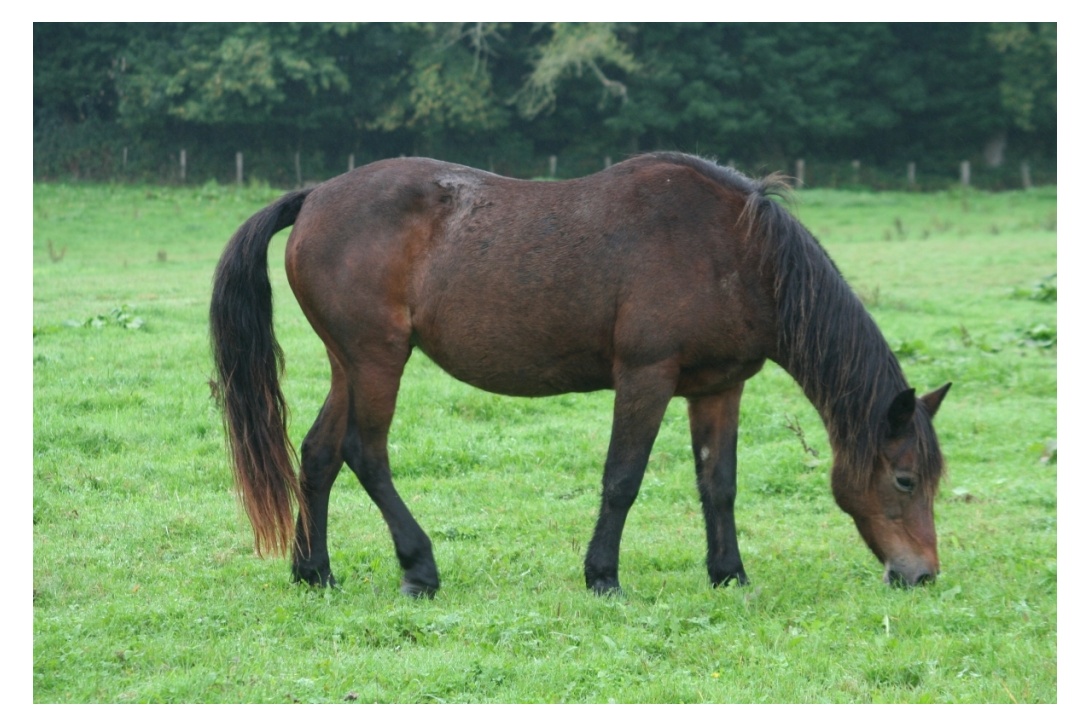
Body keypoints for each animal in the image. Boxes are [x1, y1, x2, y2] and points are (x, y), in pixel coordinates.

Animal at [208, 153, 950, 597]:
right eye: (904, 478)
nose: (922, 574)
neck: (735, 252)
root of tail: (314, 197)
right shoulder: (646, 377)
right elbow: (622, 479)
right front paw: (603, 576)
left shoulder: (718, 387)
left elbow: (720, 484)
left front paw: (729, 573)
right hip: (377, 359)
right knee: (366, 452)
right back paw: (419, 566)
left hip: (350, 362)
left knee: (319, 453)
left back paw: (314, 571)